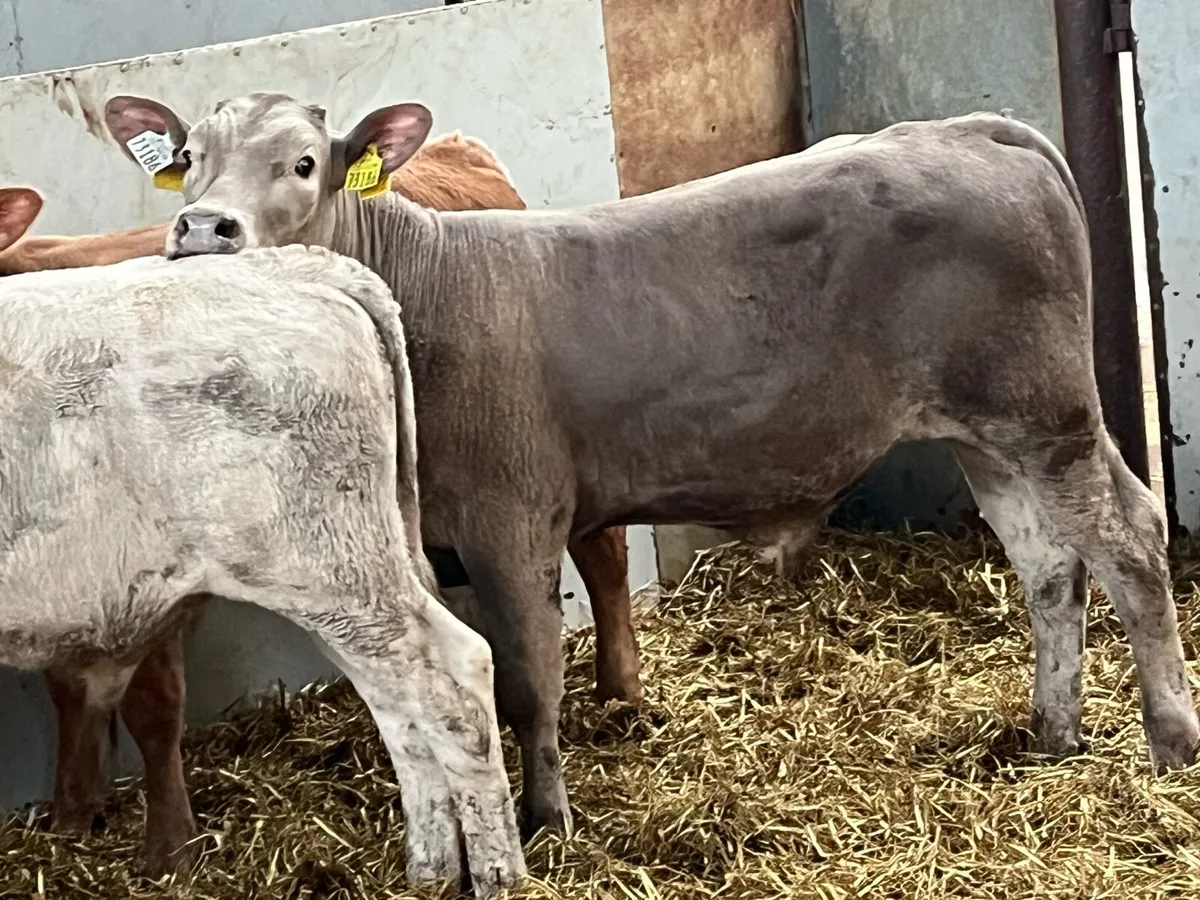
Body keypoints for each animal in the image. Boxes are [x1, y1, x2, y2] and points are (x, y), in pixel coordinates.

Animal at [4, 132, 641, 878]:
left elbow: (152, 709)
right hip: (349, 573)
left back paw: (514, 851)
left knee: (494, 645)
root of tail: (310, 270)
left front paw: (168, 852)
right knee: (406, 697)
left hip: (364, 556)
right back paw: (431, 870)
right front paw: (77, 817)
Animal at [105, 92, 1200, 841]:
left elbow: (528, 680)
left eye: (302, 163)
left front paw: (546, 818)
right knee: (1050, 567)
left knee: (1130, 542)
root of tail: (973, 129)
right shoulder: (437, 536)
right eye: (190, 161)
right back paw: (1052, 732)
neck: (426, 288)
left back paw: (1169, 736)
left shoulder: (511, 521)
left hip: (1044, 413)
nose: (202, 228)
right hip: (992, 434)